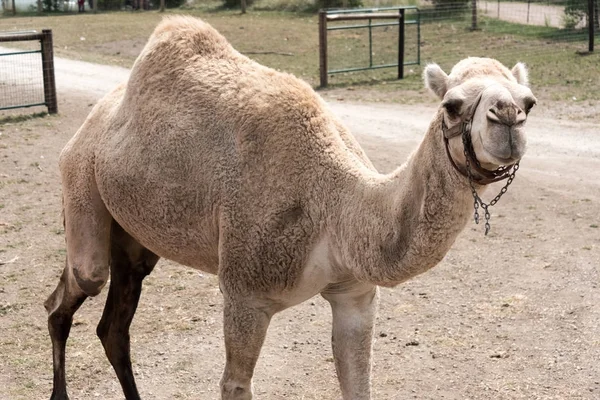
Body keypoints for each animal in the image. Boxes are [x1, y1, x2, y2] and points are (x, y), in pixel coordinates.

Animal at [44, 15, 536, 400]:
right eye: (452, 105)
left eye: (529, 101)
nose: (508, 117)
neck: (338, 208)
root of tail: (94, 119)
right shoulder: (246, 292)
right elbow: (234, 385)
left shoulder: (355, 293)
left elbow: (358, 383)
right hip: (79, 179)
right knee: (76, 286)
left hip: (135, 238)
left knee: (113, 325)